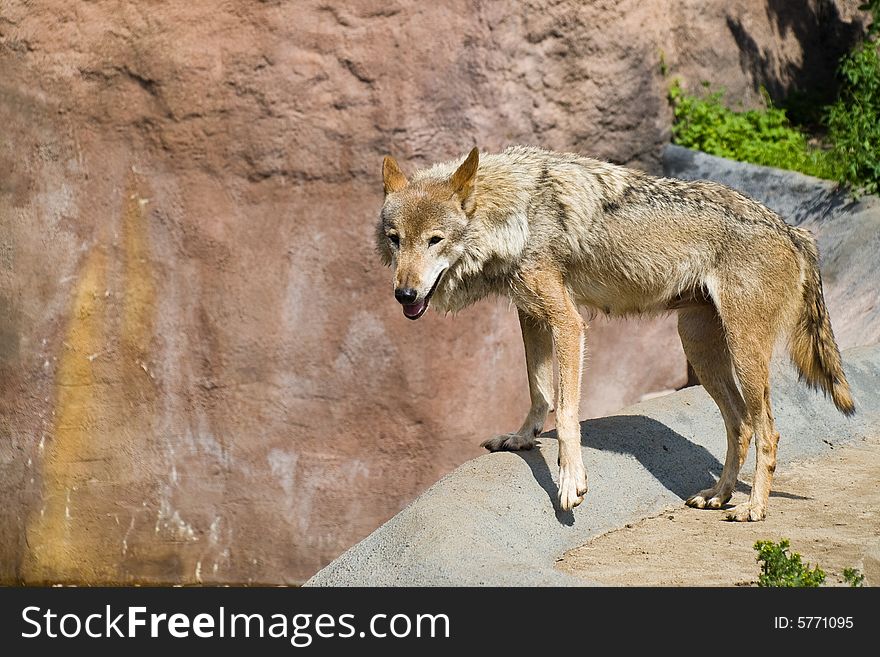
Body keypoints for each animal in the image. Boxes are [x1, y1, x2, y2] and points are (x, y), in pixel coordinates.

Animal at [376, 146, 852, 520]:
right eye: (396, 239)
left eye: (435, 240)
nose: (404, 294)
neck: (518, 214)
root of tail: (794, 229)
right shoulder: (530, 315)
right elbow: (538, 391)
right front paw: (521, 439)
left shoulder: (567, 322)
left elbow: (567, 413)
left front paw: (570, 481)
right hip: (700, 349)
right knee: (741, 426)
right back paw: (718, 496)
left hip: (743, 354)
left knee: (767, 430)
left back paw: (754, 509)